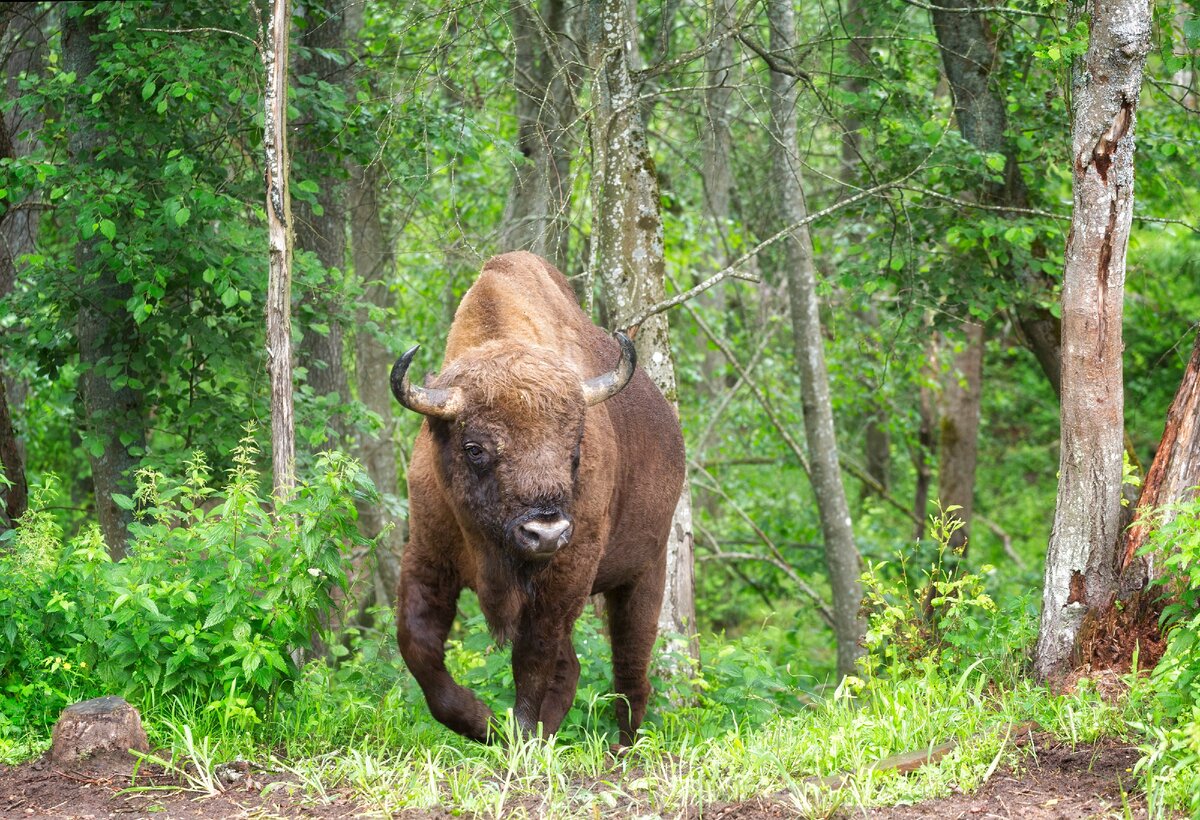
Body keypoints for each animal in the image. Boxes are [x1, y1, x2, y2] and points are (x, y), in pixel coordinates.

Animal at [391, 253, 686, 749]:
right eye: (475, 448)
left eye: (575, 449)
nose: (545, 532)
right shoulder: (427, 558)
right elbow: (418, 648)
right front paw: (488, 724)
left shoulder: (566, 573)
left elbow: (533, 657)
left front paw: (519, 734)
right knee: (579, 667)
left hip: (647, 570)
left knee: (630, 670)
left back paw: (622, 748)